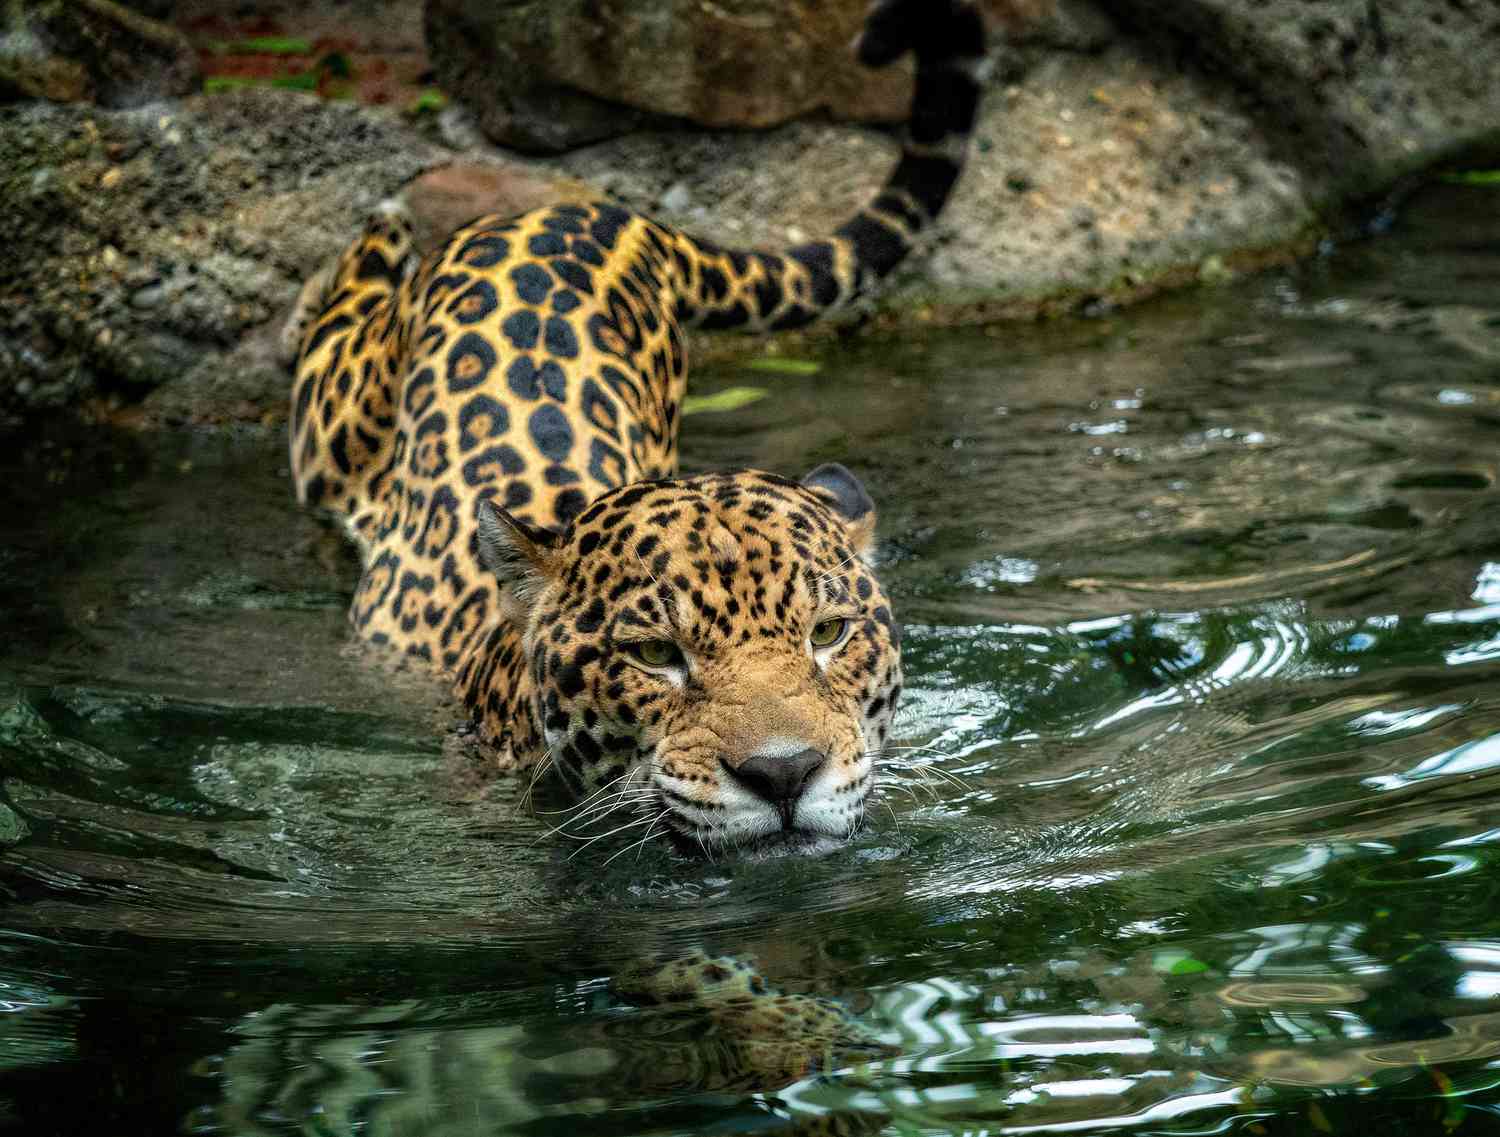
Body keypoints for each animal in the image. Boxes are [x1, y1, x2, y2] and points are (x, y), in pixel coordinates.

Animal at [287, 0, 986, 856]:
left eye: (828, 634)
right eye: (656, 654)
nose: (784, 773)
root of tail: (600, 211)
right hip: (335, 425)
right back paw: (379, 231)